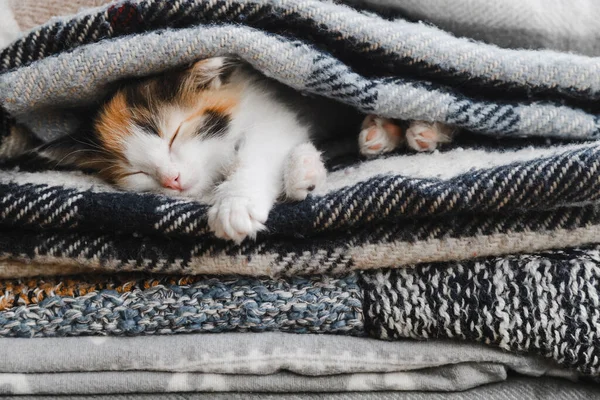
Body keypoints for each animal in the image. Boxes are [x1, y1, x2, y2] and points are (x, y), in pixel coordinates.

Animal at [42, 56, 454, 242]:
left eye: (175, 134)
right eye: (135, 172)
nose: (172, 180)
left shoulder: (273, 115)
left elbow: (256, 155)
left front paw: (234, 205)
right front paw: (303, 173)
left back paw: (421, 131)